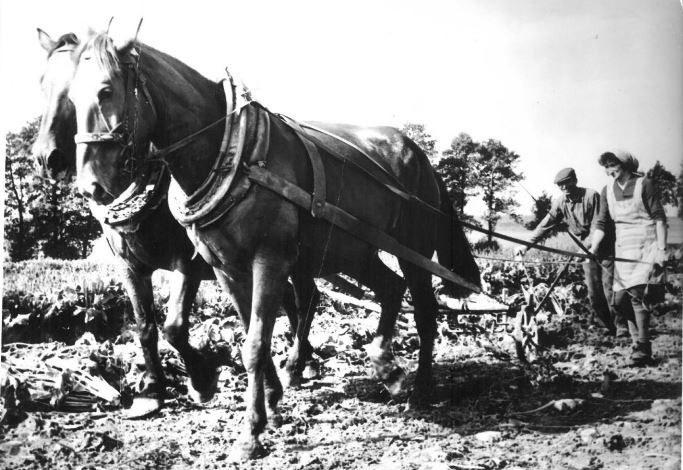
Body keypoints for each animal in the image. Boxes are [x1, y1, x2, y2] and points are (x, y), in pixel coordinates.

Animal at [68, 32, 476, 458]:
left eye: (106, 90)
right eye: (72, 100)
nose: (91, 186)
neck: (231, 155)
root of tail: (416, 152)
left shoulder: (266, 260)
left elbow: (249, 344)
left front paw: (250, 431)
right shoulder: (225, 268)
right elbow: (246, 335)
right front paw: (270, 404)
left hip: (412, 250)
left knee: (424, 310)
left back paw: (420, 388)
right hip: (351, 251)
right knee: (389, 288)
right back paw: (385, 368)